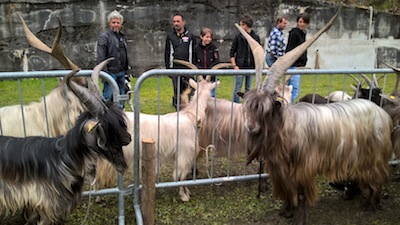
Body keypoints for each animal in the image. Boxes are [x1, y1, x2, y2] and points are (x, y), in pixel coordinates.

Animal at [236, 10, 396, 225]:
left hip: (375, 154)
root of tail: (381, 112)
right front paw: (286, 211)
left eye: (266, 109)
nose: (251, 128)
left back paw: (372, 205)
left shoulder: (303, 168)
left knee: (377, 177)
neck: (287, 129)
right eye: (249, 106)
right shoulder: (280, 170)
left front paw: (299, 219)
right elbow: (288, 193)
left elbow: (301, 194)